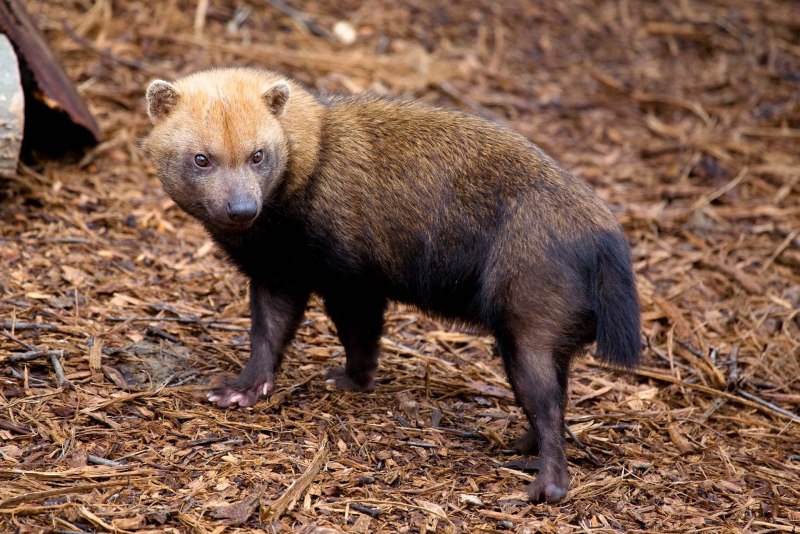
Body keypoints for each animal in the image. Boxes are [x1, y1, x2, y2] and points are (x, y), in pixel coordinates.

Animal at [144, 69, 640, 504]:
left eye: (258, 154)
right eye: (201, 158)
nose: (241, 208)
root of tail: (606, 241)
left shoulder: (351, 280)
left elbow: (359, 338)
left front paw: (349, 381)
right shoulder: (279, 276)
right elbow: (267, 337)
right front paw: (241, 390)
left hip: (528, 333)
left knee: (549, 408)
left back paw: (545, 486)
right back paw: (520, 445)